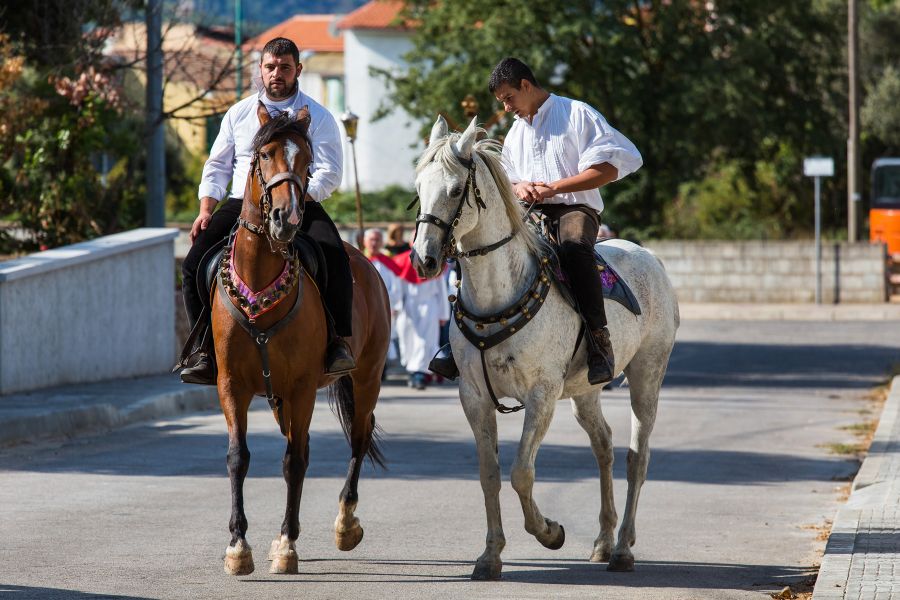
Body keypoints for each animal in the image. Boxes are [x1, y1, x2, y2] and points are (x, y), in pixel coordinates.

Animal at [214, 103, 394, 576]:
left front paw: (287, 547)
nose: (287, 218)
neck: (260, 284)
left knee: (358, 437)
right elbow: (238, 456)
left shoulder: (301, 386)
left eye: (308, 160)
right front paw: (238, 546)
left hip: (365, 377)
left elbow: (294, 462)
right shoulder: (230, 385)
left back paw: (345, 524)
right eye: (264, 154)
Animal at [412, 115, 680, 580]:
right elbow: (489, 473)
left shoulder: (541, 395)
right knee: (604, 447)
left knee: (637, 457)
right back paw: (602, 541)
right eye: (417, 187)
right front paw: (490, 556)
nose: (423, 259)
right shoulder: (473, 396)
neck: (499, 294)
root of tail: (649, 258)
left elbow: (522, 471)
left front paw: (550, 532)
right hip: (585, 391)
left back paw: (623, 548)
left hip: (648, 374)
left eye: (455, 189)